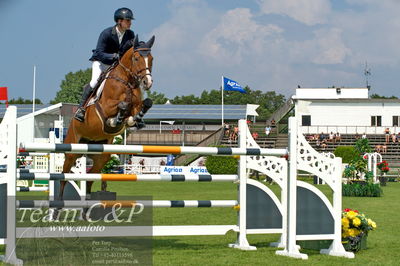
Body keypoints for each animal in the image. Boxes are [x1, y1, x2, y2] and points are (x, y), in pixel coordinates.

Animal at [59, 34, 155, 200]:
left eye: (151, 58)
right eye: (136, 58)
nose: (147, 82)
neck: (127, 81)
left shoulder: (136, 105)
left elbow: (144, 104)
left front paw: (135, 121)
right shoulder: (106, 106)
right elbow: (122, 105)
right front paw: (116, 119)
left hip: (101, 156)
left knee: (91, 177)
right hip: (72, 150)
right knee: (63, 177)